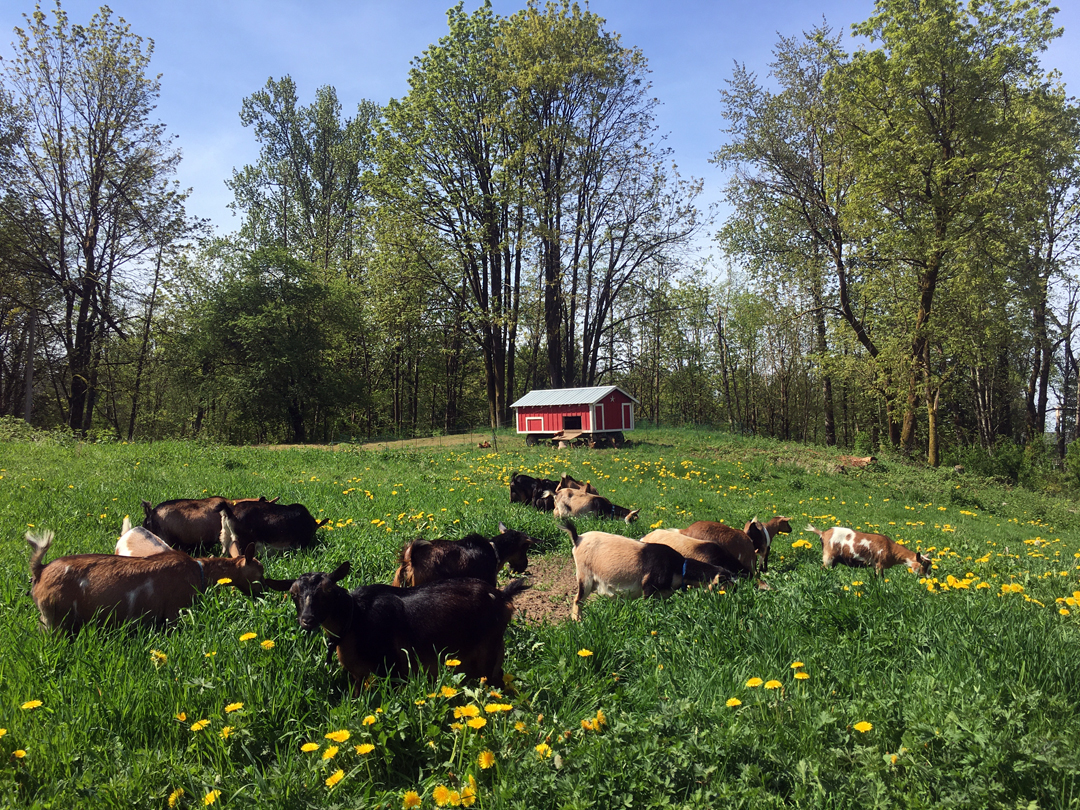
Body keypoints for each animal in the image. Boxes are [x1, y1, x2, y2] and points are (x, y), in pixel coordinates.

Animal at [265, 565, 527, 695]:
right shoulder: (359, 676)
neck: (355, 619)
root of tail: (501, 596)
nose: (307, 620)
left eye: (328, 591)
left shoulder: (394, 669)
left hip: (488, 652)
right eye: (293, 595)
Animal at [557, 520, 725, 622]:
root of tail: (578, 539)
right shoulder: (649, 587)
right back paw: (577, 621)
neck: (679, 568)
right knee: (577, 600)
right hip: (584, 576)